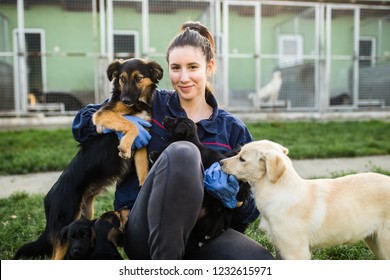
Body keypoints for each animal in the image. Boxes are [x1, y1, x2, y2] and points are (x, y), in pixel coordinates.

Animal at [13, 57, 163, 260]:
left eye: (138, 78)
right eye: (122, 79)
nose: (125, 100)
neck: (137, 105)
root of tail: (48, 201)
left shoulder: (141, 143)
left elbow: (143, 170)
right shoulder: (103, 115)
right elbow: (129, 123)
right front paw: (124, 146)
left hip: (85, 217)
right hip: (65, 228)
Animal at [148, 116, 251, 247]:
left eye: (176, 120)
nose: (166, 117)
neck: (189, 140)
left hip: (222, 207)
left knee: (223, 223)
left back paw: (208, 237)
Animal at [221, 140, 390, 260]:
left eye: (242, 159)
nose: (221, 162)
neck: (278, 191)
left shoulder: (296, 252)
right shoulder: (280, 248)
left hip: (384, 243)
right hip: (374, 241)